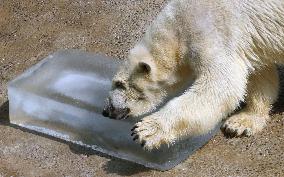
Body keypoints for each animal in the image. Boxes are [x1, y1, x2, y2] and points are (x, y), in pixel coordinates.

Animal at [101, 0, 282, 150]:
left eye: (119, 83)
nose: (107, 111)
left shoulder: (215, 33)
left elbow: (221, 86)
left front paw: (146, 130)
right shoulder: (251, 43)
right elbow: (259, 74)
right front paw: (241, 122)